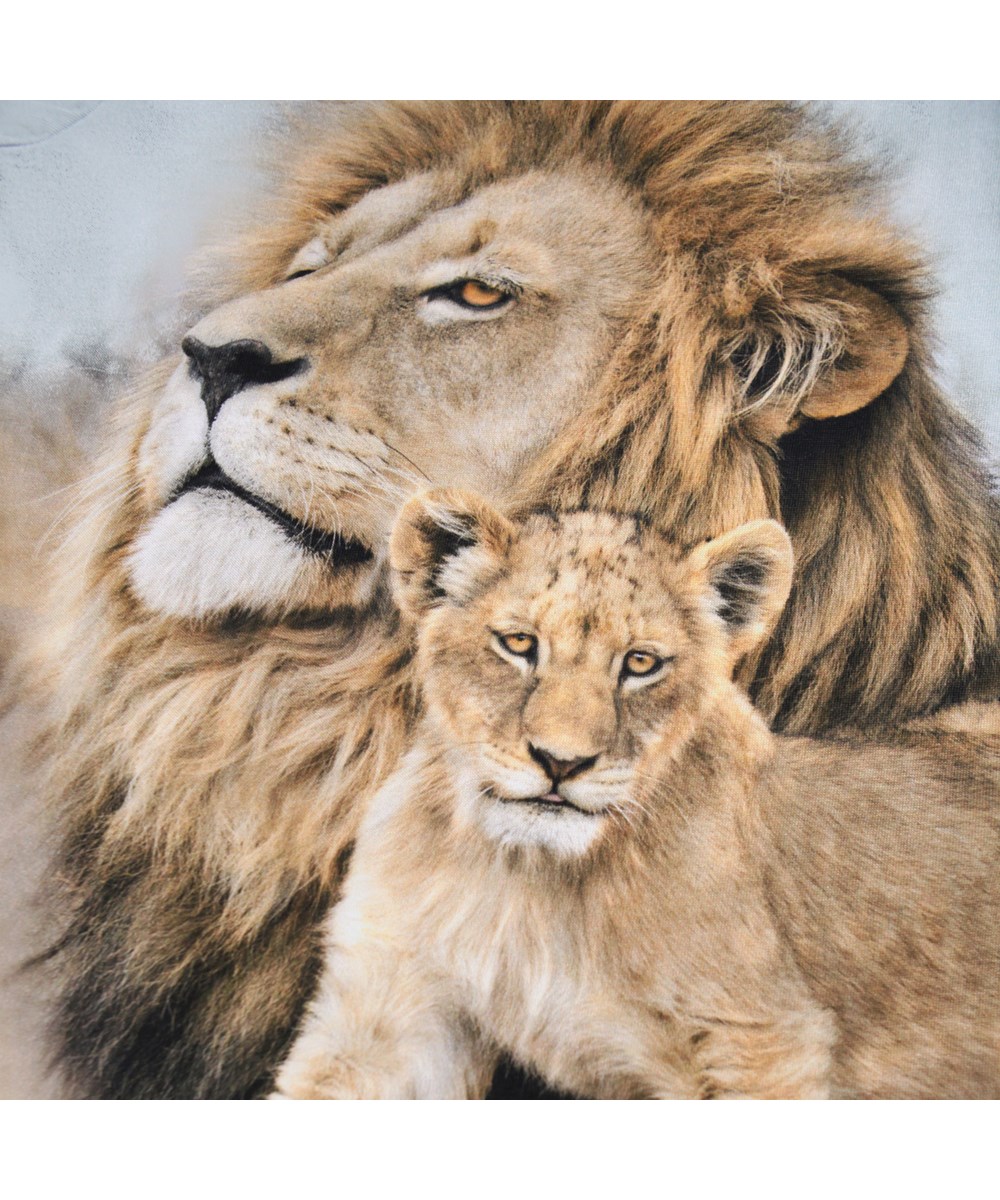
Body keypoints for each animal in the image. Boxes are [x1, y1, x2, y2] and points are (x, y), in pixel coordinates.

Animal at [271, 492, 1000, 1100]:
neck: (529, 883)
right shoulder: (386, 1011)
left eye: (641, 663)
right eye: (518, 644)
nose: (561, 762)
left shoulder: (759, 1040)